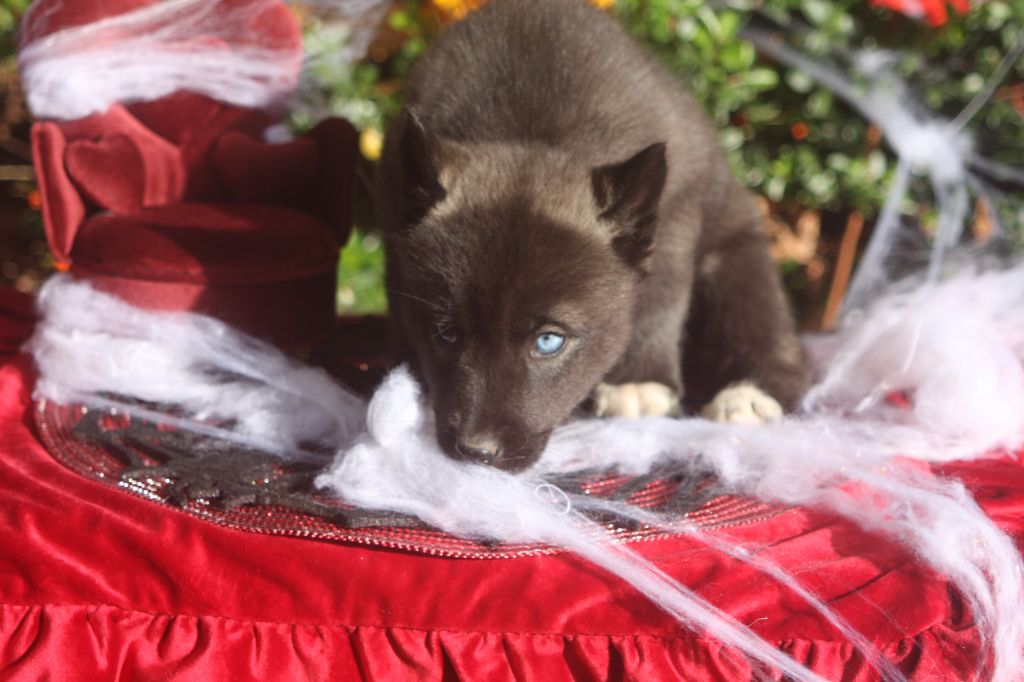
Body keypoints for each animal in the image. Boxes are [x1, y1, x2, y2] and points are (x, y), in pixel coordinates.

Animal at [377, 0, 810, 472]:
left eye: (549, 341)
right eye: (446, 334)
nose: (476, 452)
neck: (531, 131)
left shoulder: (675, 218)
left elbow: (659, 303)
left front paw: (637, 384)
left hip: (736, 257)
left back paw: (748, 396)